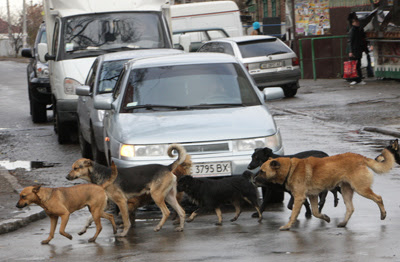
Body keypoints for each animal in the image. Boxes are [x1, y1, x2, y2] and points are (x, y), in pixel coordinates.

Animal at [256, 144, 396, 230]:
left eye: (262, 171)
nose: (253, 179)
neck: (290, 168)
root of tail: (360, 157)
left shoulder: (299, 198)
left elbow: (294, 213)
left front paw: (287, 226)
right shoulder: (312, 196)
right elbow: (315, 212)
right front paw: (325, 218)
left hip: (361, 189)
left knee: (378, 198)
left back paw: (383, 214)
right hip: (346, 191)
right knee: (350, 208)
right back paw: (343, 223)